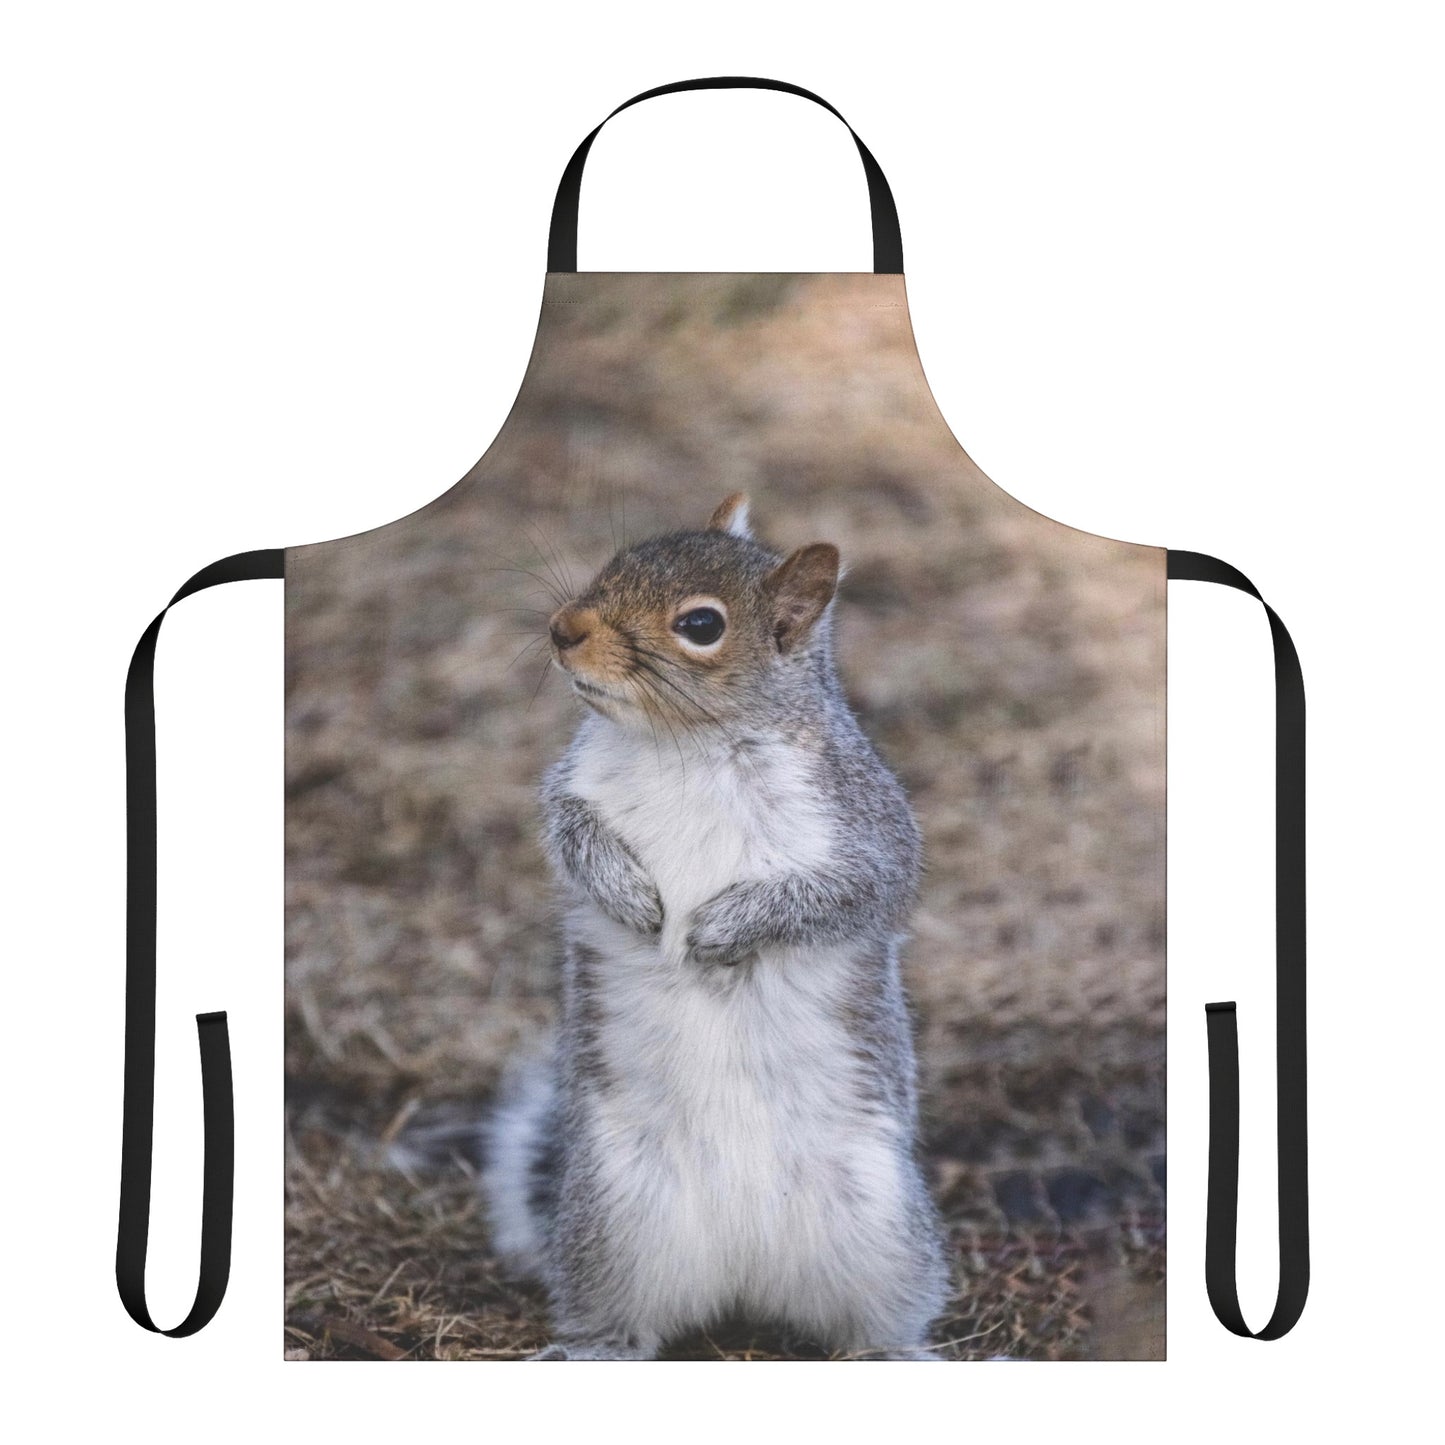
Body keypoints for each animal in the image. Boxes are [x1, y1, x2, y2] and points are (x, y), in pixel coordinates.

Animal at [482, 493, 948, 1359]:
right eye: (617, 559)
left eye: (700, 625)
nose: (563, 627)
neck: (687, 744)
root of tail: (743, 1272)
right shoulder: (572, 786)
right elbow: (569, 836)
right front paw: (631, 895)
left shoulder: (864, 826)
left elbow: (848, 891)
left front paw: (722, 928)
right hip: (615, 1216)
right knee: (622, 1316)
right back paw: (594, 1346)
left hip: (877, 1223)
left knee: (878, 1313)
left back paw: (891, 1349)